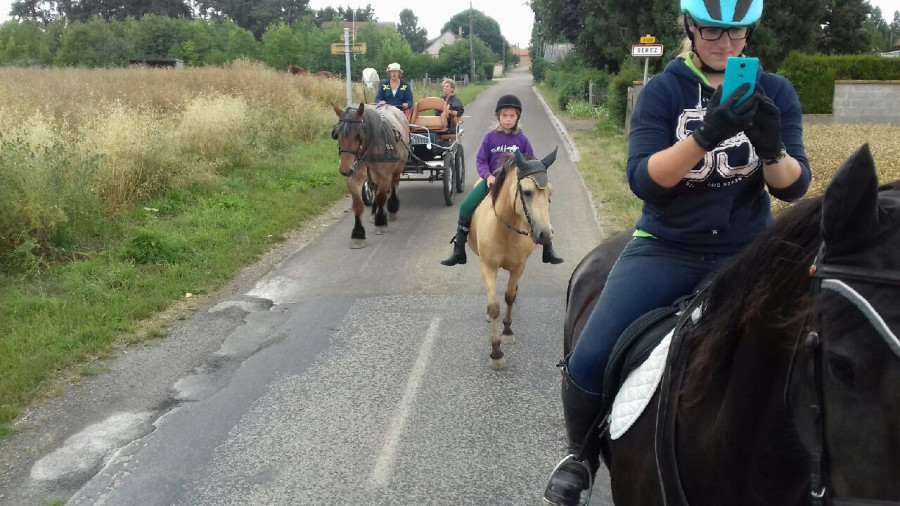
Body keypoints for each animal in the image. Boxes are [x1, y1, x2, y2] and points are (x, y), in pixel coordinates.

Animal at [472, 148, 556, 370]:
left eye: (550, 193)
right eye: (527, 192)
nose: (545, 234)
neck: (506, 230)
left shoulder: (519, 267)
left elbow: (509, 297)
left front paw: (507, 332)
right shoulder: (488, 266)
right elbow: (494, 307)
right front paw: (496, 352)